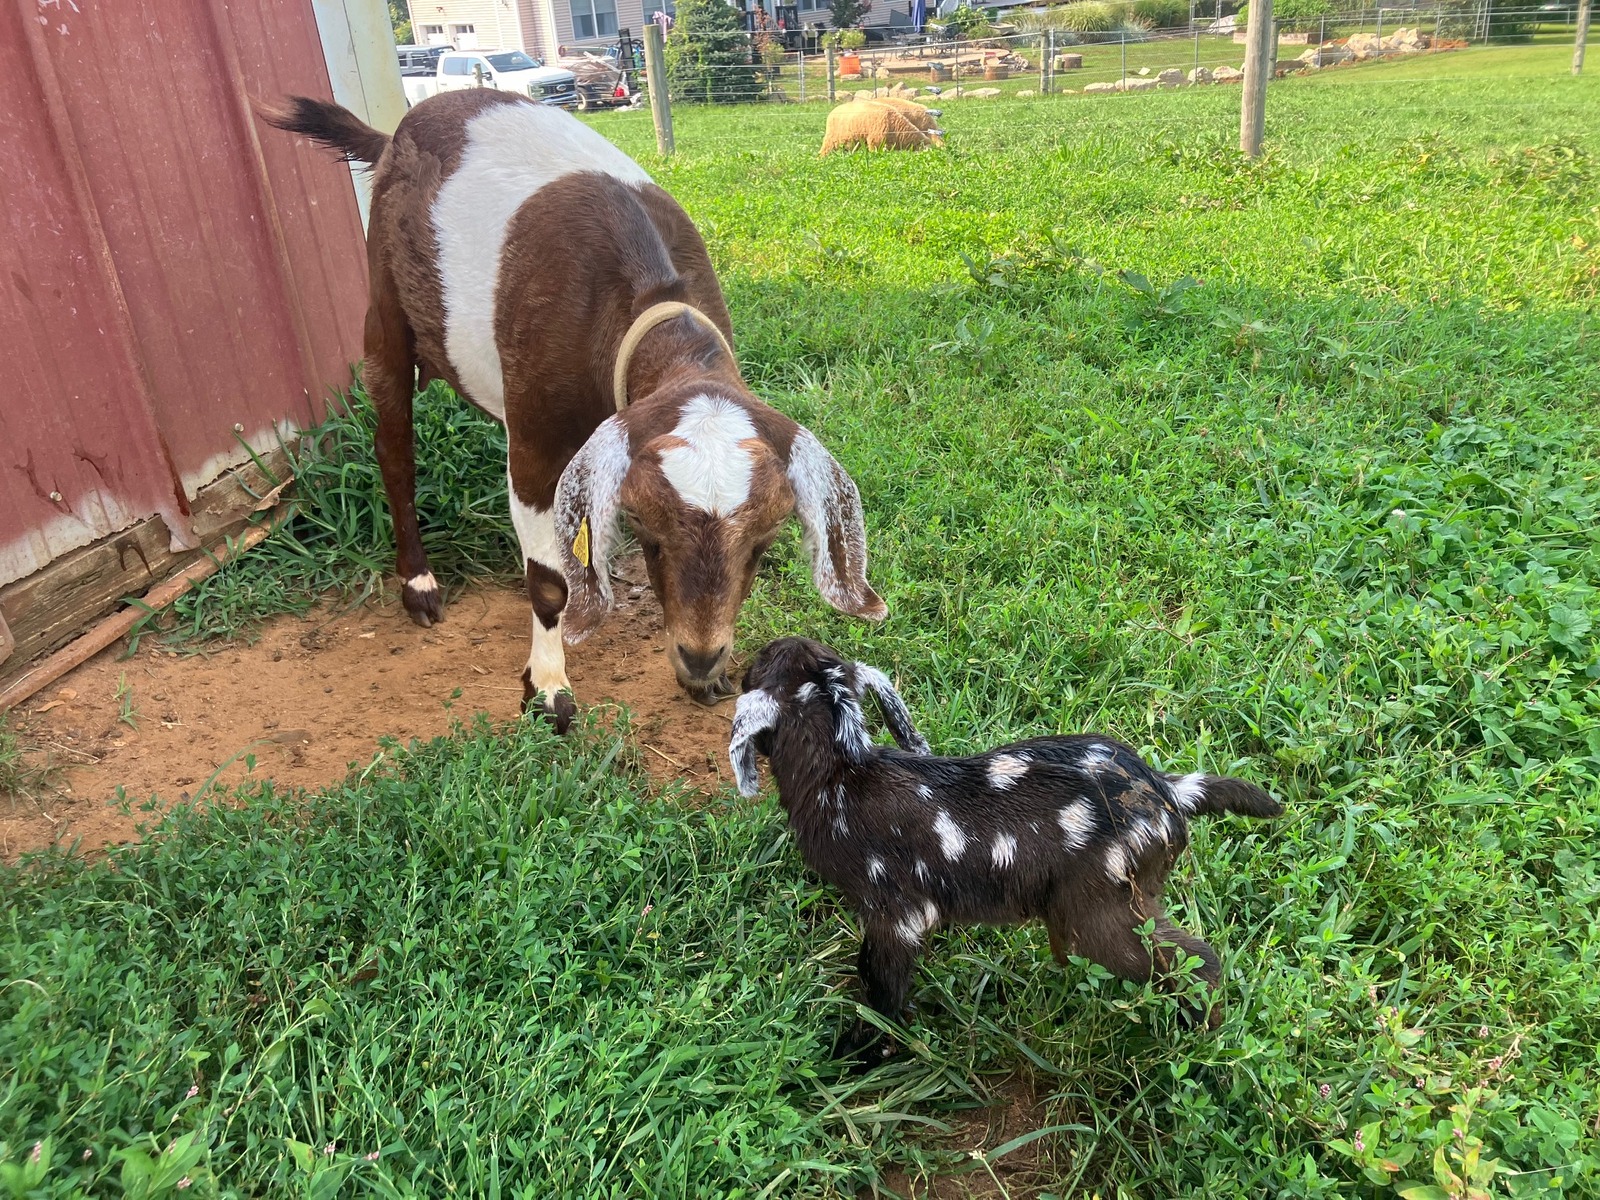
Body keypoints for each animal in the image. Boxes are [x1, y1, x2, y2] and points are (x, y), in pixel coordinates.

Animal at [261, 92, 886, 729]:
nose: (700, 656)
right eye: (649, 531)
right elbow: (549, 581)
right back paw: (418, 581)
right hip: (384, 307)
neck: (647, 294)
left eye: (764, 543)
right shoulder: (538, 443)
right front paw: (547, 688)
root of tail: (394, 136)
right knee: (394, 447)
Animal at [728, 636, 1283, 1059]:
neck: (842, 777)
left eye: (756, 666)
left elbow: (881, 985)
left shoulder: (895, 909)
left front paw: (863, 1052)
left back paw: (1200, 1033)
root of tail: (1168, 793)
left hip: (1099, 909)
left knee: (1197, 960)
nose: (733, 673)